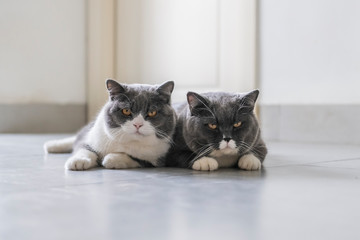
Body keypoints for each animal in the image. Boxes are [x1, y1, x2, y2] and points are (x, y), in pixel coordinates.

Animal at [44, 79, 176, 170]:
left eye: (152, 112)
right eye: (126, 111)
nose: (138, 124)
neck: (128, 141)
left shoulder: (157, 158)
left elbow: (136, 158)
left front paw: (111, 159)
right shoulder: (94, 138)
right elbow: (84, 148)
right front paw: (78, 161)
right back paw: (52, 145)